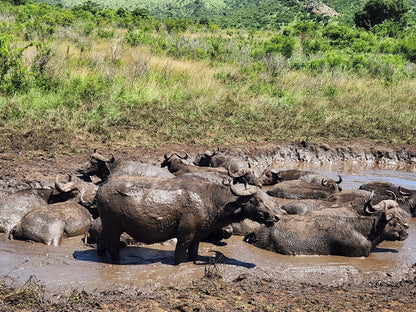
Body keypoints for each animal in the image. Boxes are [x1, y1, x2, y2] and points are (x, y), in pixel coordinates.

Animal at [94, 174, 282, 264]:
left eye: (267, 197)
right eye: (256, 200)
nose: (277, 216)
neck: (210, 200)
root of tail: (101, 187)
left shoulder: (197, 237)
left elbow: (193, 254)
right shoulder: (185, 235)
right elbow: (178, 256)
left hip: (106, 226)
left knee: (101, 244)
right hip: (114, 228)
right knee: (113, 247)